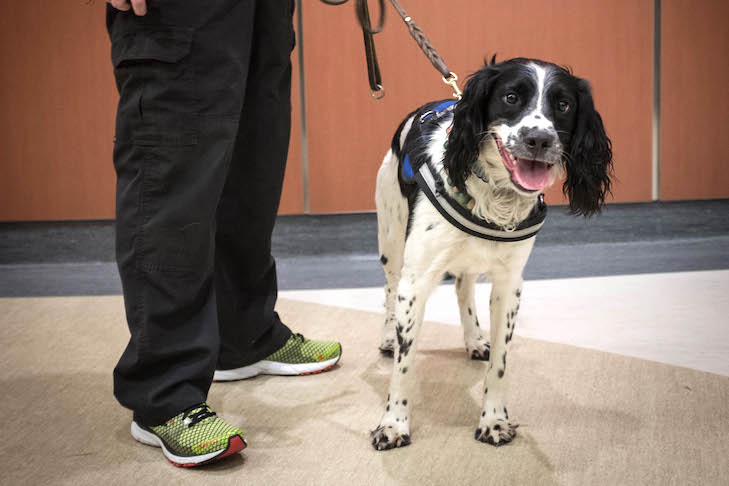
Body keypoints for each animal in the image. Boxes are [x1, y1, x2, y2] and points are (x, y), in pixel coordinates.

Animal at [372, 58, 612, 450]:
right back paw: (389, 337)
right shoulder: (416, 281)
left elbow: (500, 363)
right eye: (511, 97)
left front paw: (494, 420)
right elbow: (404, 367)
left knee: (463, 288)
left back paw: (473, 339)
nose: (539, 140)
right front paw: (394, 424)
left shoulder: (509, 285)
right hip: (391, 242)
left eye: (563, 105)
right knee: (389, 288)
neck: (494, 197)